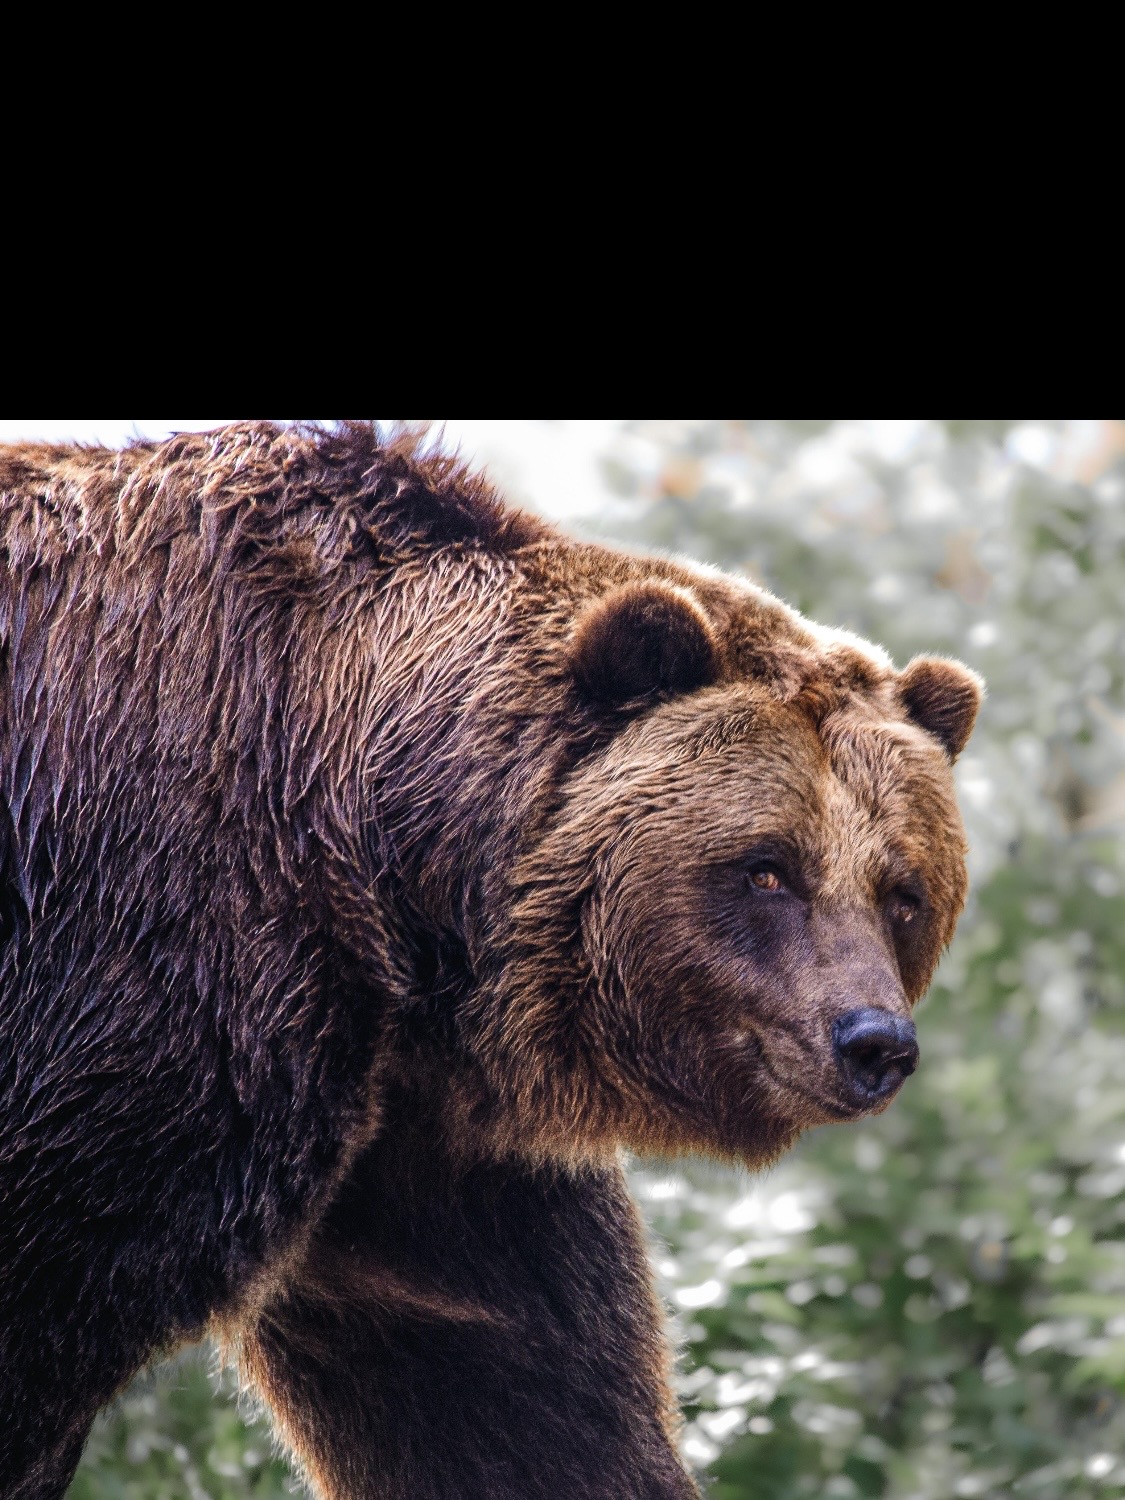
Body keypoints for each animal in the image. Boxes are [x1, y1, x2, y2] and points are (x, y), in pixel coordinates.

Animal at [0, 422, 982, 1499]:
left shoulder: (427, 1148)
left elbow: (516, 1389)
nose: (874, 1041)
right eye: (769, 868)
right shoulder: (156, 944)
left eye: (903, 893)